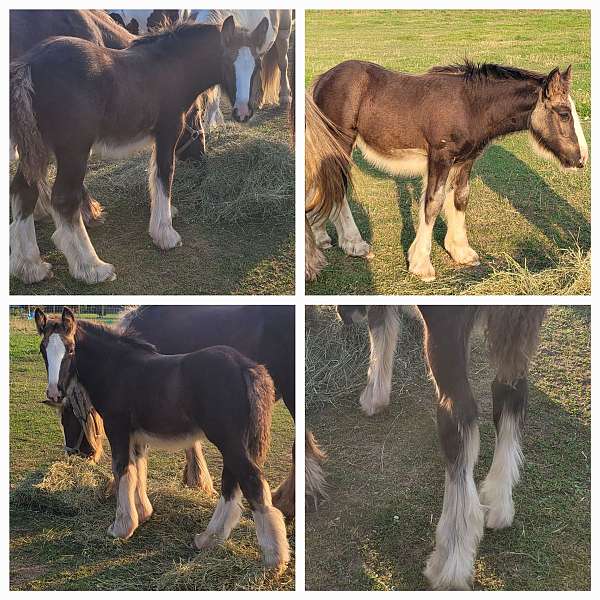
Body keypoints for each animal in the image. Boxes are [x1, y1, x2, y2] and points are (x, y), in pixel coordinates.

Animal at [9, 16, 266, 284]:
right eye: (228, 61)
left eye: (258, 64)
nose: (243, 112)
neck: (173, 68)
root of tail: (29, 64)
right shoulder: (168, 133)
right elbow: (165, 175)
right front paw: (165, 234)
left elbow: (153, 174)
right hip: (73, 151)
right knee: (63, 199)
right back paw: (91, 267)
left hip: (37, 149)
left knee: (23, 191)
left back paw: (29, 266)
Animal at [34, 308, 290, 568]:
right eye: (43, 349)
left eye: (70, 349)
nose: (54, 392)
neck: (116, 368)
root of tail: (246, 366)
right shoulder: (136, 436)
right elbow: (138, 469)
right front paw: (142, 513)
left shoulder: (117, 429)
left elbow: (122, 469)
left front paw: (121, 527)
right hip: (234, 441)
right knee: (231, 483)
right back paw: (209, 539)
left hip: (228, 439)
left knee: (251, 481)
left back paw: (274, 557)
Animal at [308, 62, 588, 282]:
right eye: (564, 113)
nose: (581, 158)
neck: (471, 106)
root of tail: (322, 79)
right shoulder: (440, 158)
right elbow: (433, 203)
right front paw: (421, 264)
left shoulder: (464, 161)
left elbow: (460, 198)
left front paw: (460, 251)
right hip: (341, 143)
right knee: (337, 186)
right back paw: (354, 244)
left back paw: (321, 236)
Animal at [332, 308, 548, 588]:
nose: (345, 316)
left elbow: (379, 327)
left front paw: (373, 397)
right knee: (511, 393)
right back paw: (498, 504)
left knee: (459, 423)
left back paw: (451, 562)